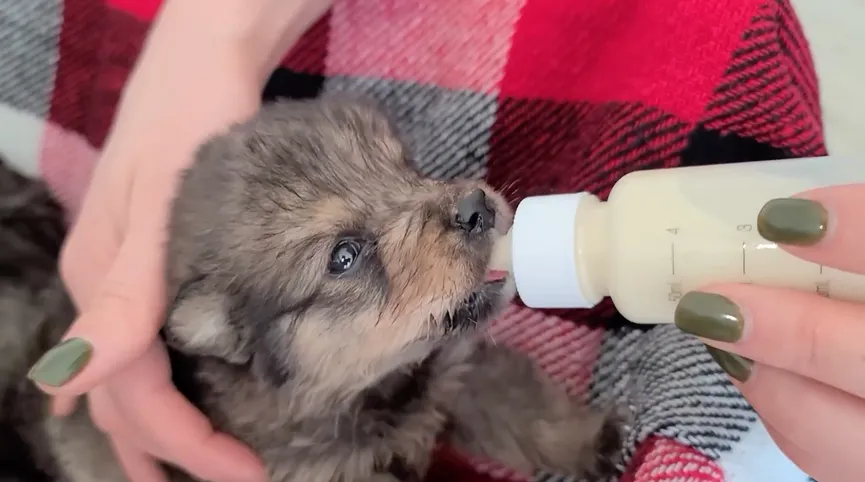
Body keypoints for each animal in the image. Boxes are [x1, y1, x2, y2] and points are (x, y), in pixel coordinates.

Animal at [0, 99, 620, 482]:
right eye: (344, 256)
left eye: (407, 168)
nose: (476, 208)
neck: (372, 391)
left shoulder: (457, 370)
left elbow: (523, 406)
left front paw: (593, 440)